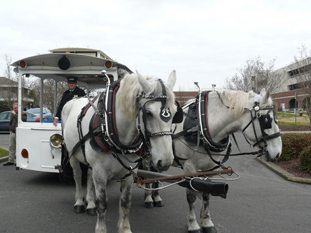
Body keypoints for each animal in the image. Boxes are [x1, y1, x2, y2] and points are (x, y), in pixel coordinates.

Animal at [143, 88, 282, 233]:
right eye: (266, 120)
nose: (277, 153)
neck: (202, 126)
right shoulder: (189, 168)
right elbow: (191, 195)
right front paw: (193, 224)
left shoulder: (209, 168)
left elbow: (206, 194)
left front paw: (207, 222)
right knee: (146, 175)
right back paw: (148, 198)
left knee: (155, 175)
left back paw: (156, 197)